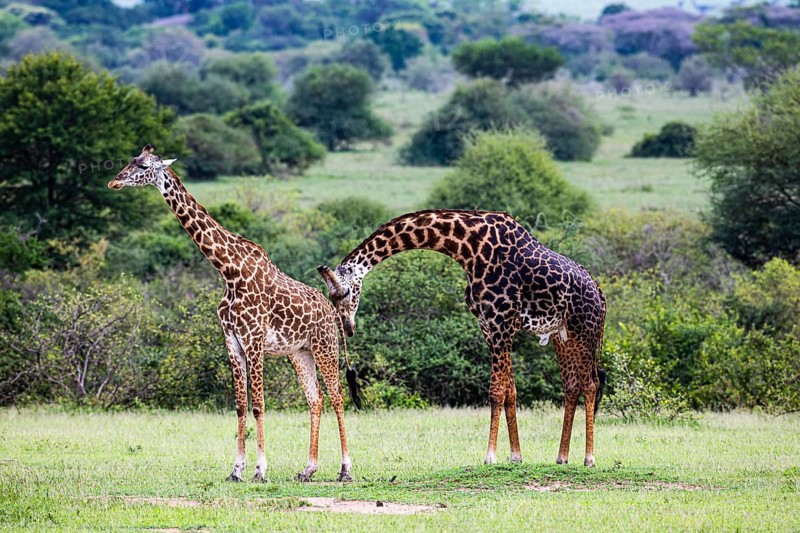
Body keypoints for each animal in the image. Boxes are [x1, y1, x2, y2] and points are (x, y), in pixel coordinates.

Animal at [108, 145, 360, 482]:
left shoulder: (253, 340)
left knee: (337, 396)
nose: (115, 181)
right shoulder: (231, 341)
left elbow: (258, 405)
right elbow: (241, 406)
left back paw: (345, 470)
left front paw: (260, 470)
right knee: (315, 399)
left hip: (325, 346)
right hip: (300, 352)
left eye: (144, 166)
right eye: (130, 161)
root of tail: (331, 310)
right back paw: (308, 469)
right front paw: (236, 470)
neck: (229, 271)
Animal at [318, 209, 606, 467]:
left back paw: (589, 458)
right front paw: (515, 456)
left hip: (585, 331)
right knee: (571, 386)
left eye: (345, 293)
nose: (348, 327)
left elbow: (496, 391)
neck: (467, 248)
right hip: (562, 336)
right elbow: (510, 391)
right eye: (331, 297)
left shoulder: (500, 323)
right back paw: (562, 457)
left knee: (590, 384)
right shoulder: (488, 327)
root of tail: (601, 297)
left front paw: (490, 456)